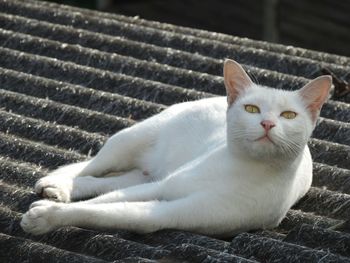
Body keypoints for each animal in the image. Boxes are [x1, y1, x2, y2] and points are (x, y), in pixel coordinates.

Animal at [21, 59, 330, 237]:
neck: (240, 169)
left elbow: (108, 211)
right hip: (128, 142)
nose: (267, 123)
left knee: (108, 181)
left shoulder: (171, 213)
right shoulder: (163, 187)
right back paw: (57, 186)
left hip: (145, 172)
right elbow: (102, 202)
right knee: (89, 169)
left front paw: (44, 216)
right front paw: (46, 209)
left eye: (288, 115)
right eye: (251, 109)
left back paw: (56, 191)